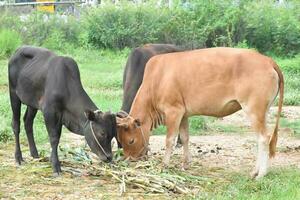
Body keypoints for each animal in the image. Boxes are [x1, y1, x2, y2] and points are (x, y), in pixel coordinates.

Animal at [8, 46, 116, 175]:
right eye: (102, 133)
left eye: (113, 134)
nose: (109, 157)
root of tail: (17, 50)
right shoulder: (49, 112)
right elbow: (54, 138)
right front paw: (56, 166)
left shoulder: (60, 116)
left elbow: (57, 138)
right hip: (13, 94)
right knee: (16, 124)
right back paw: (18, 157)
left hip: (32, 103)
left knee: (28, 122)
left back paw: (35, 154)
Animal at [116, 47, 284, 179]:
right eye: (120, 141)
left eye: (130, 140)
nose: (130, 160)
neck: (157, 80)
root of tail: (267, 60)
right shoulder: (183, 114)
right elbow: (184, 138)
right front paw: (185, 164)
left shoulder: (173, 111)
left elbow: (170, 140)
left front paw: (164, 165)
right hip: (262, 111)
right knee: (260, 139)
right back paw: (255, 171)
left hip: (254, 110)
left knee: (264, 138)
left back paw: (260, 174)